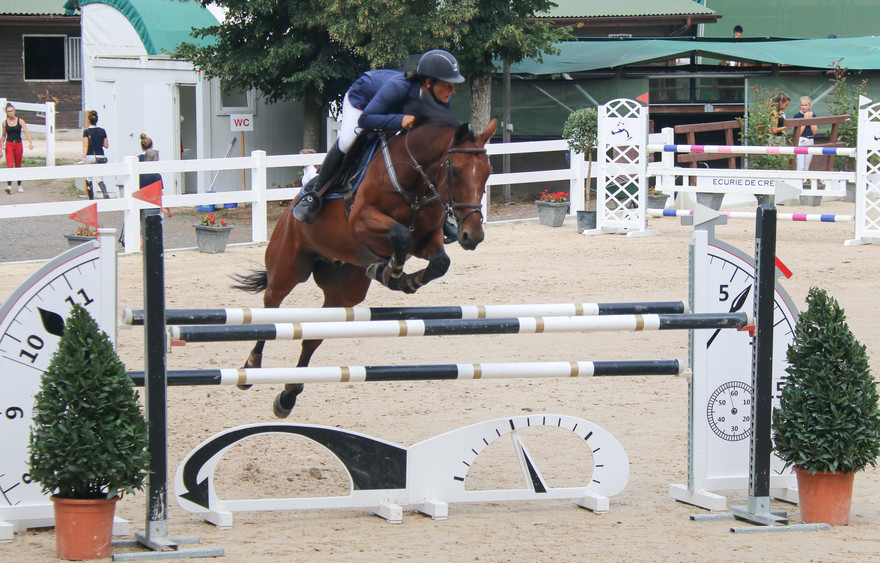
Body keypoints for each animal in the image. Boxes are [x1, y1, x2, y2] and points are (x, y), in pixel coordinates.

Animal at [233, 101, 498, 418]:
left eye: (488, 172)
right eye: (455, 172)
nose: (473, 235)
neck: (414, 181)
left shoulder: (427, 239)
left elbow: (438, 262)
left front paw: (404, 279)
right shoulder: (362, 222)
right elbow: (400, 236)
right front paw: (390, 273)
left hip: (343, 294)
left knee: (312, 337)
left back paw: (288, 396)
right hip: (287, 269)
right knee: (270, 310)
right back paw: (251, 368)